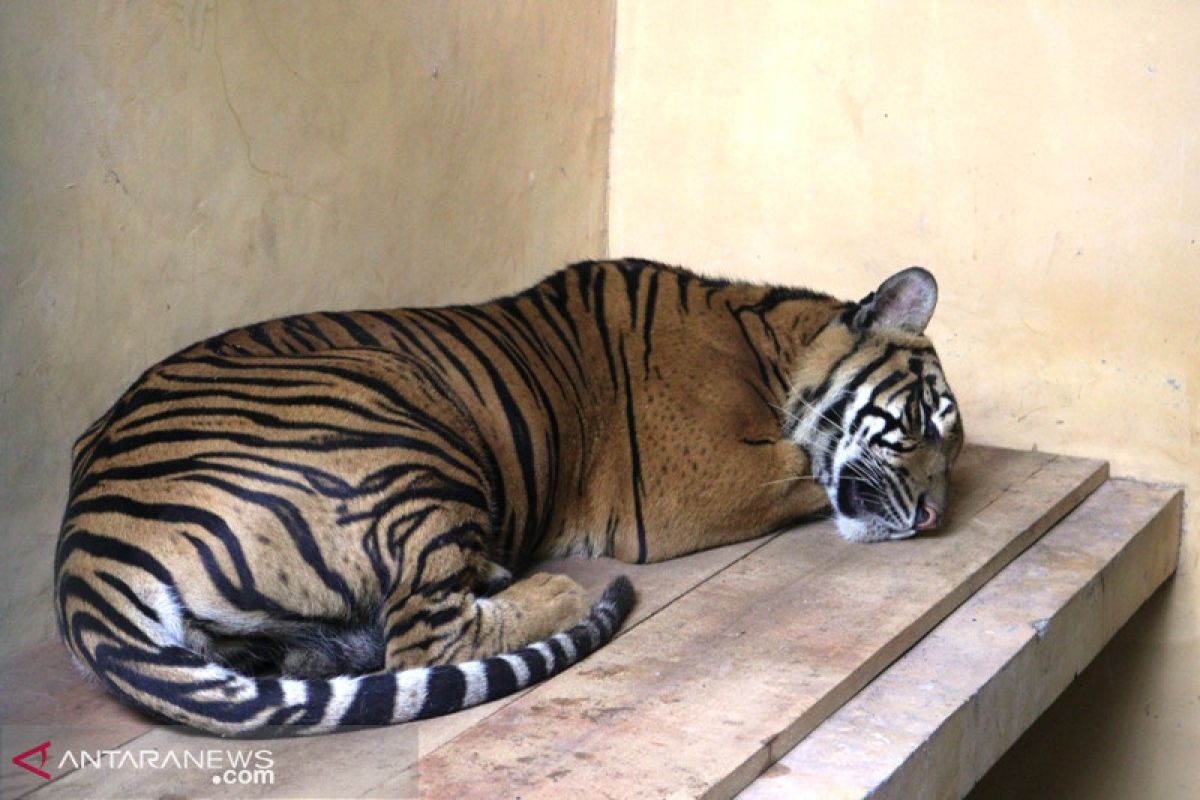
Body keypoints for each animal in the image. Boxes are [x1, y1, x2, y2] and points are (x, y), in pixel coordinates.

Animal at [56, 257, 964, 738]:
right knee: (424, 642)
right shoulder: (696, 482)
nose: (930, 518)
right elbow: (810, 475)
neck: (772, 348)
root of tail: (82, 550)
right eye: (922, 422)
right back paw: (554, 590)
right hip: (405, 437)